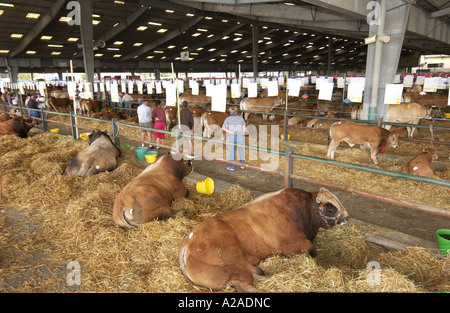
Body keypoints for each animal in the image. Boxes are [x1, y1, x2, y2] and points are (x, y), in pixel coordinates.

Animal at [178, 186, 348, 292]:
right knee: (244, 285)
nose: (347, 217)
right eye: (330, 207)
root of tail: (189, 239)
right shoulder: (295, 243)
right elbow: (313, 251)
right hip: (234, 263)